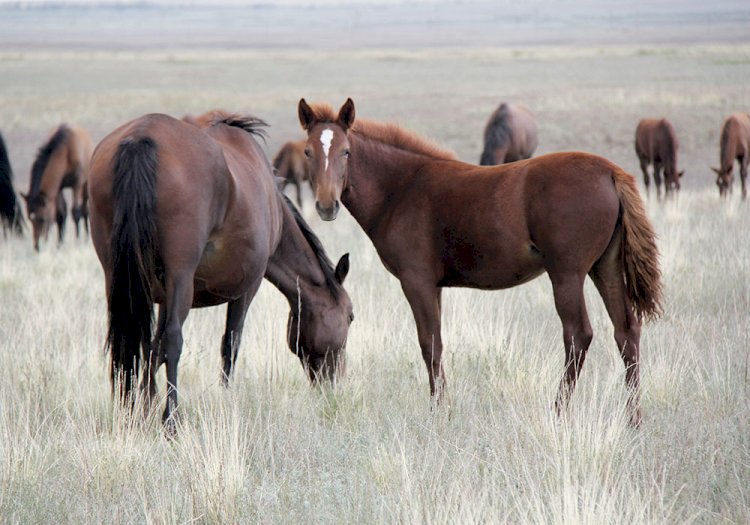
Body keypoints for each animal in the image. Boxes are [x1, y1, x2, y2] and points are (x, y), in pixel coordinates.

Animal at [89, 109, 356, 430]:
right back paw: (172, 420)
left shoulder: (162, 296)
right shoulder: (247, 288)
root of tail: (141, 137)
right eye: (350, 316)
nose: (335, 384)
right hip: (181, 277)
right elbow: (229, 344)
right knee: (174, 339)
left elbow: (153, 349)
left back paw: (130, 413)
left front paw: (145, 404)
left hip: (118, 278)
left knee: (132, 342)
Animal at [300, 98, 664, 426]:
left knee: (578, 335)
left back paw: (558, 412)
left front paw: (438, 414)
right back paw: (633, 420)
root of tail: (610, 171)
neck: (401, 188)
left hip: (567, 274)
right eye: (308, 152)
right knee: (626, 331)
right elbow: (436, 343)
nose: (327, 205)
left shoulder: (416, 281)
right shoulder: (434, 287)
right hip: (605, 268)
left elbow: (429, 343)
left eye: (346, 151)